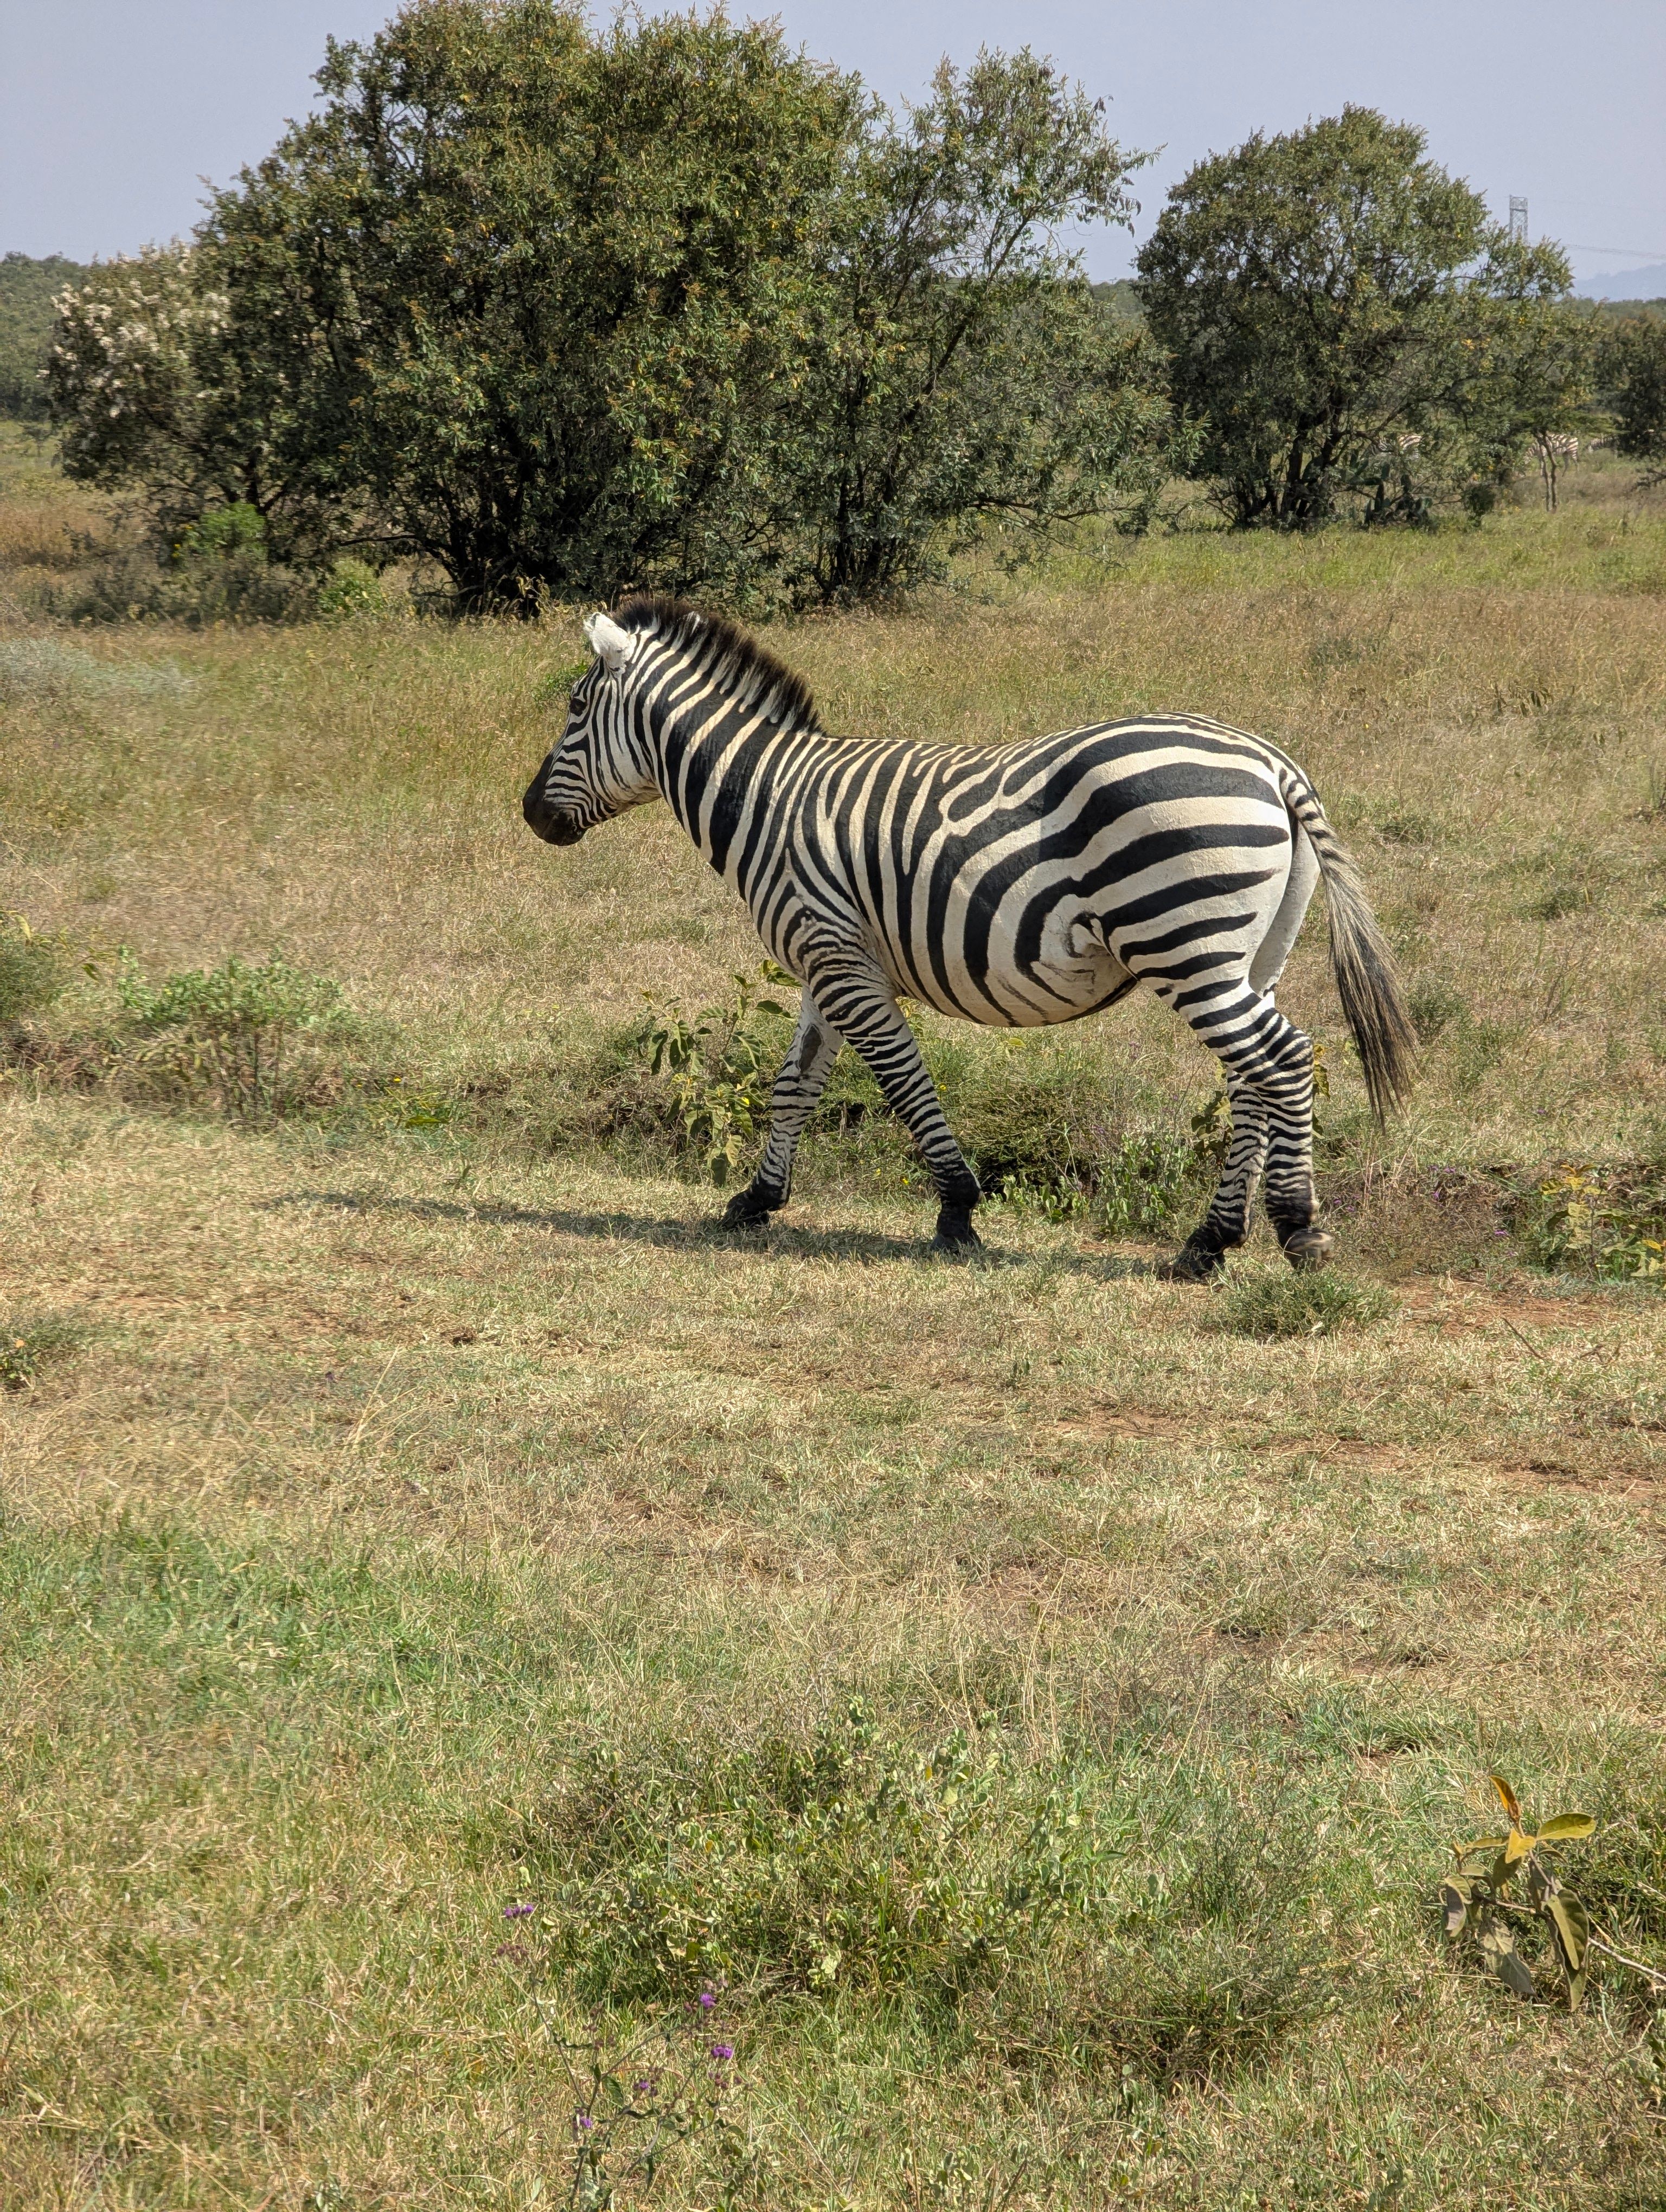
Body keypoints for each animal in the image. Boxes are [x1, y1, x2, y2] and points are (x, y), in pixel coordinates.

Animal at [522, 596, 1414, 1278]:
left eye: (574, 710)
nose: (530, 815)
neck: (765, 799)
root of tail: (1272, 764)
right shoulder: (825, 957)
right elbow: (795, 1084)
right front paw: (757, 1201)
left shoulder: (840, 959)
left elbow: (902, 1078)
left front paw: (956, 1209)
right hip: (1247, 955)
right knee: (1251, 1076)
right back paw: (1210, 1242)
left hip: (1182, 940)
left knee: (1284, 1059)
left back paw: (1297, 1230)